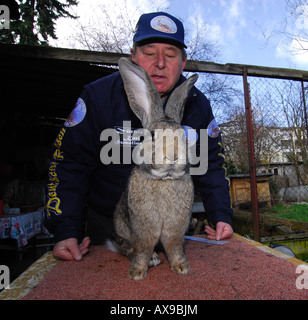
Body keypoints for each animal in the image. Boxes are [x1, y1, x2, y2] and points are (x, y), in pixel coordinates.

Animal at [106, 57, 199, 280]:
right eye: (152, 136)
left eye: (183, 136)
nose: (173, 156)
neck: (164, 180)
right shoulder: (144, 231)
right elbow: (142, 250)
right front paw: (137, 273)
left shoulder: (175, 230)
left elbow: (175, 248)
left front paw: (182, 267)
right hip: (121, 233)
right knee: (128, 250)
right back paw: (153, 260)